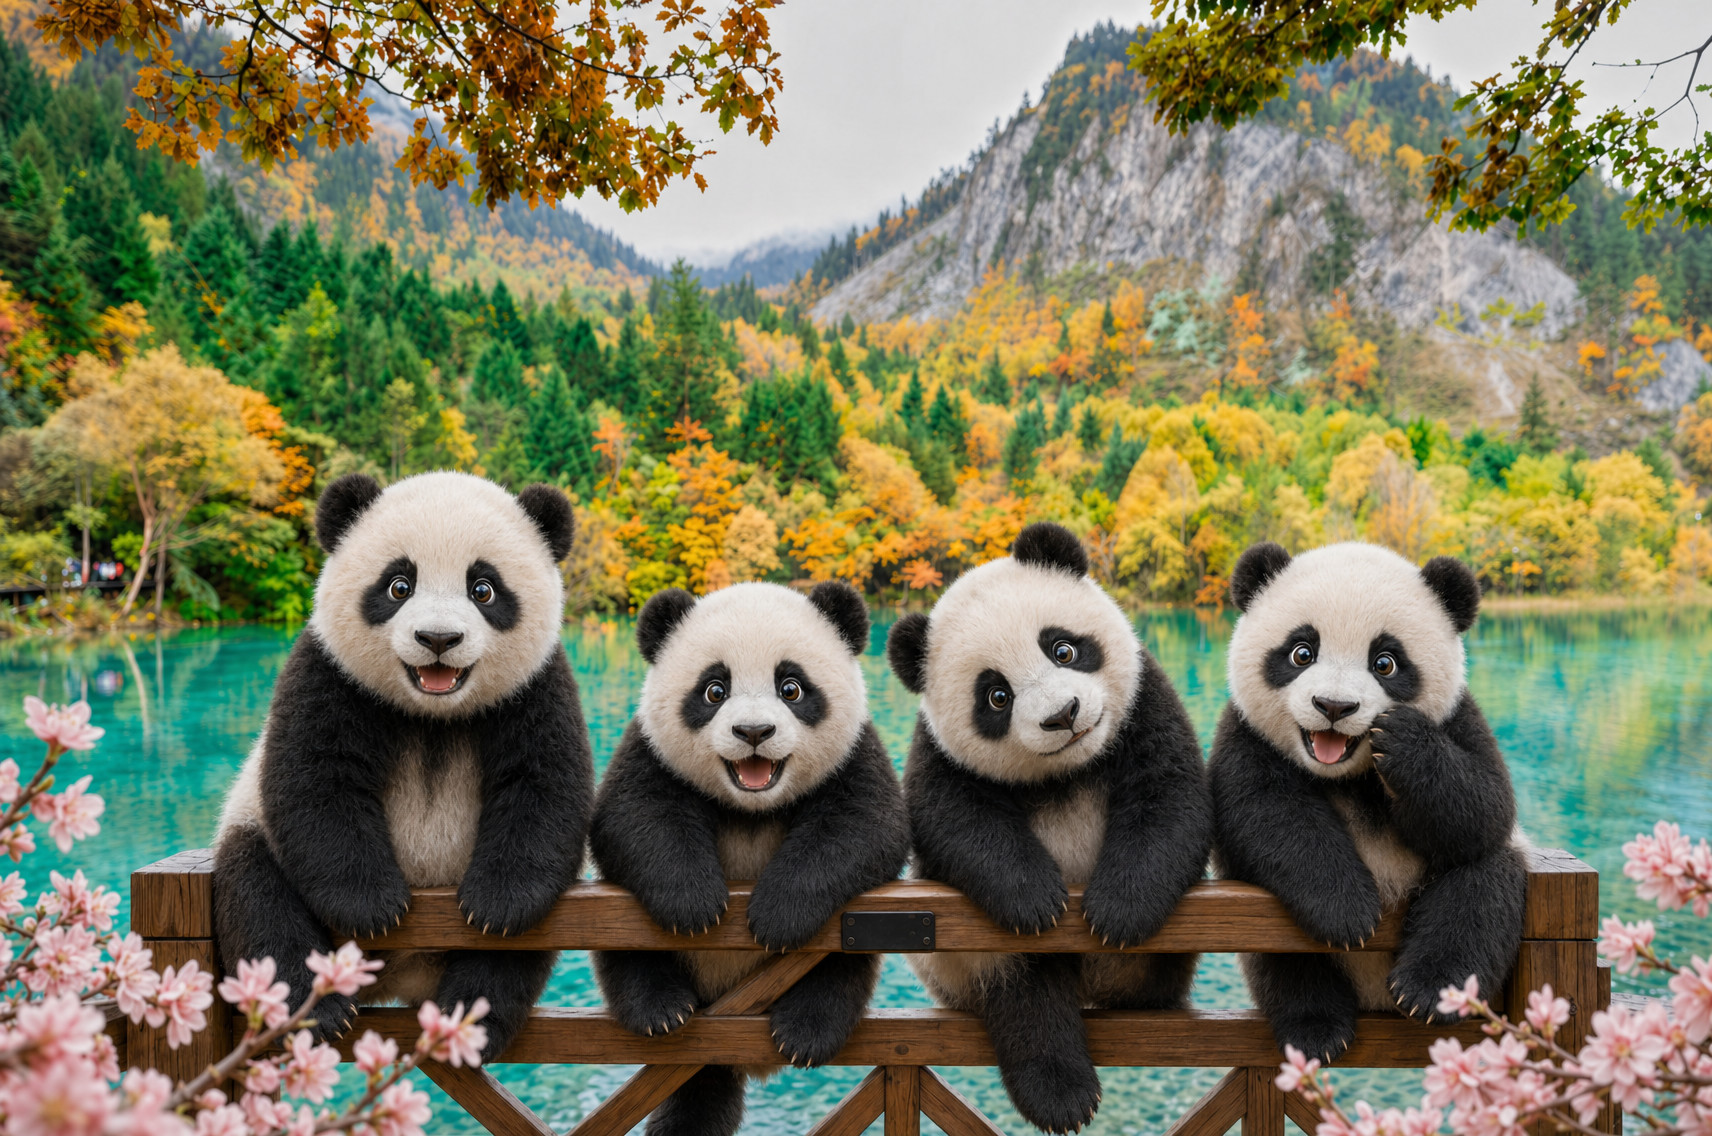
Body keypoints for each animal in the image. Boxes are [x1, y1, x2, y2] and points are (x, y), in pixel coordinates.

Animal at [212, 471, 594, 1060]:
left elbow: (543, 785)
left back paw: (470, 1017)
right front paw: (372, 907)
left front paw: (496, 905)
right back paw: (319, 1012)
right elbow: (315, 782)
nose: (438, 639)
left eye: (483, 589)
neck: (431, 715)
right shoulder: (327, 672)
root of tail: (405, 976)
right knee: (260, 907)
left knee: (518, 954)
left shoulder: (537, 686)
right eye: (398, 585)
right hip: (247, 829)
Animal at [589, 580, 909, 1136]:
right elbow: (632, 814)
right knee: (629, 959)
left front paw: (777, 917)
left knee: (843, 966)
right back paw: (661, 1009)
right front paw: (695, 906)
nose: (754, 732)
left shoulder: (854, 752)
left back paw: (805, 1030)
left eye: (792, 688)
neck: (751, 807)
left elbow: (868, 823)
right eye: (714, 690)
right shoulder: (649, 749)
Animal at [885, 522, 1212, 1135]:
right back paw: (1060, 1093)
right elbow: (955, 820)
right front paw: (1035, 899)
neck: (1069, 770)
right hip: (960, 961)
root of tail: (1097, 988)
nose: (1063, 715)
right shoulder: (940, 753)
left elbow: (1171, 795)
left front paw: (1119, 911)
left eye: (1063, 648)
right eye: (997, 695)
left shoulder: (1143, 701)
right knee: (1021, 985)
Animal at [1212, 540, 1526, 1063]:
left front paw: (1404, 743)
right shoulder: (1245, 733)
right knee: (1279, 961)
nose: (1334, 707)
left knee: (1483, 884)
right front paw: (1347, 912)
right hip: (1258, 914)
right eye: (1302, 652)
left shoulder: (1460, 717)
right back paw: (1318, 1028)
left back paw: (1430, 993)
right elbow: (1265, 810)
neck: (1345, 777)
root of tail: (1374, 997)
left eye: (1386, 662)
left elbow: (1486, 807)